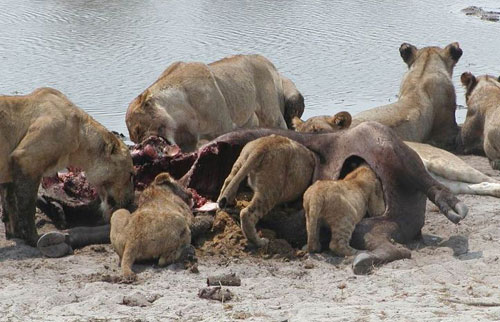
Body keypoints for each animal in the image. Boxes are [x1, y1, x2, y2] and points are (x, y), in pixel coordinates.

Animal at [0, 88, 135, 247]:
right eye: (131, 174)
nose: (130, 201)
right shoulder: (26, 158)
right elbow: (27, 206)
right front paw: (34, 238)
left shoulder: (9, 170)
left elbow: (9, 202)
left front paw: (14, 234)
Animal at [127, 53, 302, 151]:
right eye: (134, 138)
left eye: (138, 131)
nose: (141, 144)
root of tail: (266, 60)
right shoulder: (186, 143)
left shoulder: (223, 127)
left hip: (272, 115)